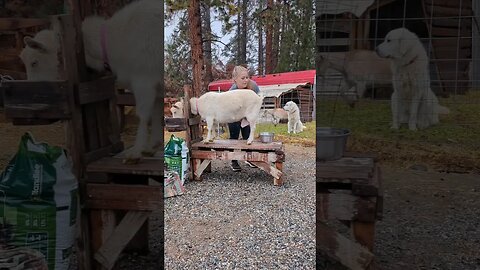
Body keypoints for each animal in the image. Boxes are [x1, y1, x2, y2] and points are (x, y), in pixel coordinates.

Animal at [19, 0, 162, 163]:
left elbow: (143, 114)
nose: (31, 95)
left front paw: (136, 152)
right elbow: (157, 111)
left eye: (34, 62)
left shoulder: (143, 79)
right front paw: (152, 146)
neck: (116, 39)